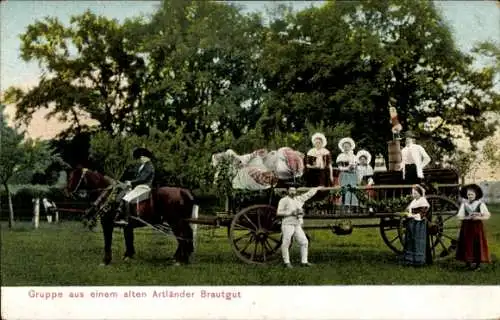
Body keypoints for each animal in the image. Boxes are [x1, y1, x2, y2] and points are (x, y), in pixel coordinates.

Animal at [66, 166, 197, 266]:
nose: (66, 192)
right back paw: (181, 258)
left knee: (182, 237)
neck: (109, 195)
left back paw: (179, 260)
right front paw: (128, 256)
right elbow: (128, 240)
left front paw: (106, 261)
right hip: (179, 222)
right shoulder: (127, 226)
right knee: (186, 236)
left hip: (175, 222)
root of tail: (184, 191)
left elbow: (108, 242)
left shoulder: (107, 223)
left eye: (73, 177)